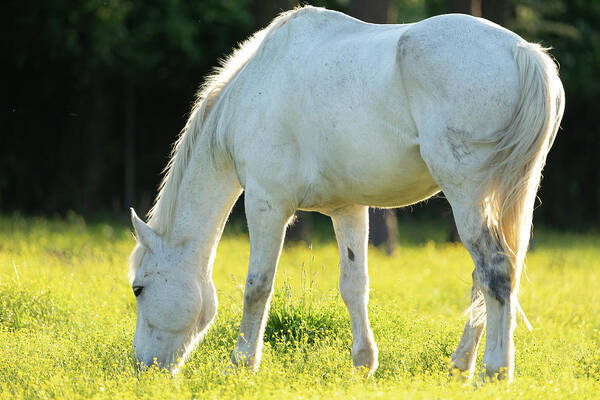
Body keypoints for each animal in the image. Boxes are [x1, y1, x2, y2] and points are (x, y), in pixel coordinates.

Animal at [126, 5, 564, 382]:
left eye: (139, 288)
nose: (143, 368)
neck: (251, 94)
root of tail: (522, 52)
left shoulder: (266, 204)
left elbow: (257, 286)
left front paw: (242, 364)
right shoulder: (348, 208)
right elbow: (354, 286)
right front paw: (363, 364)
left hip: (466, 195)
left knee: (495, 272)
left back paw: (494, 371)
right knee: (486, 278)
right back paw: (461, 366)